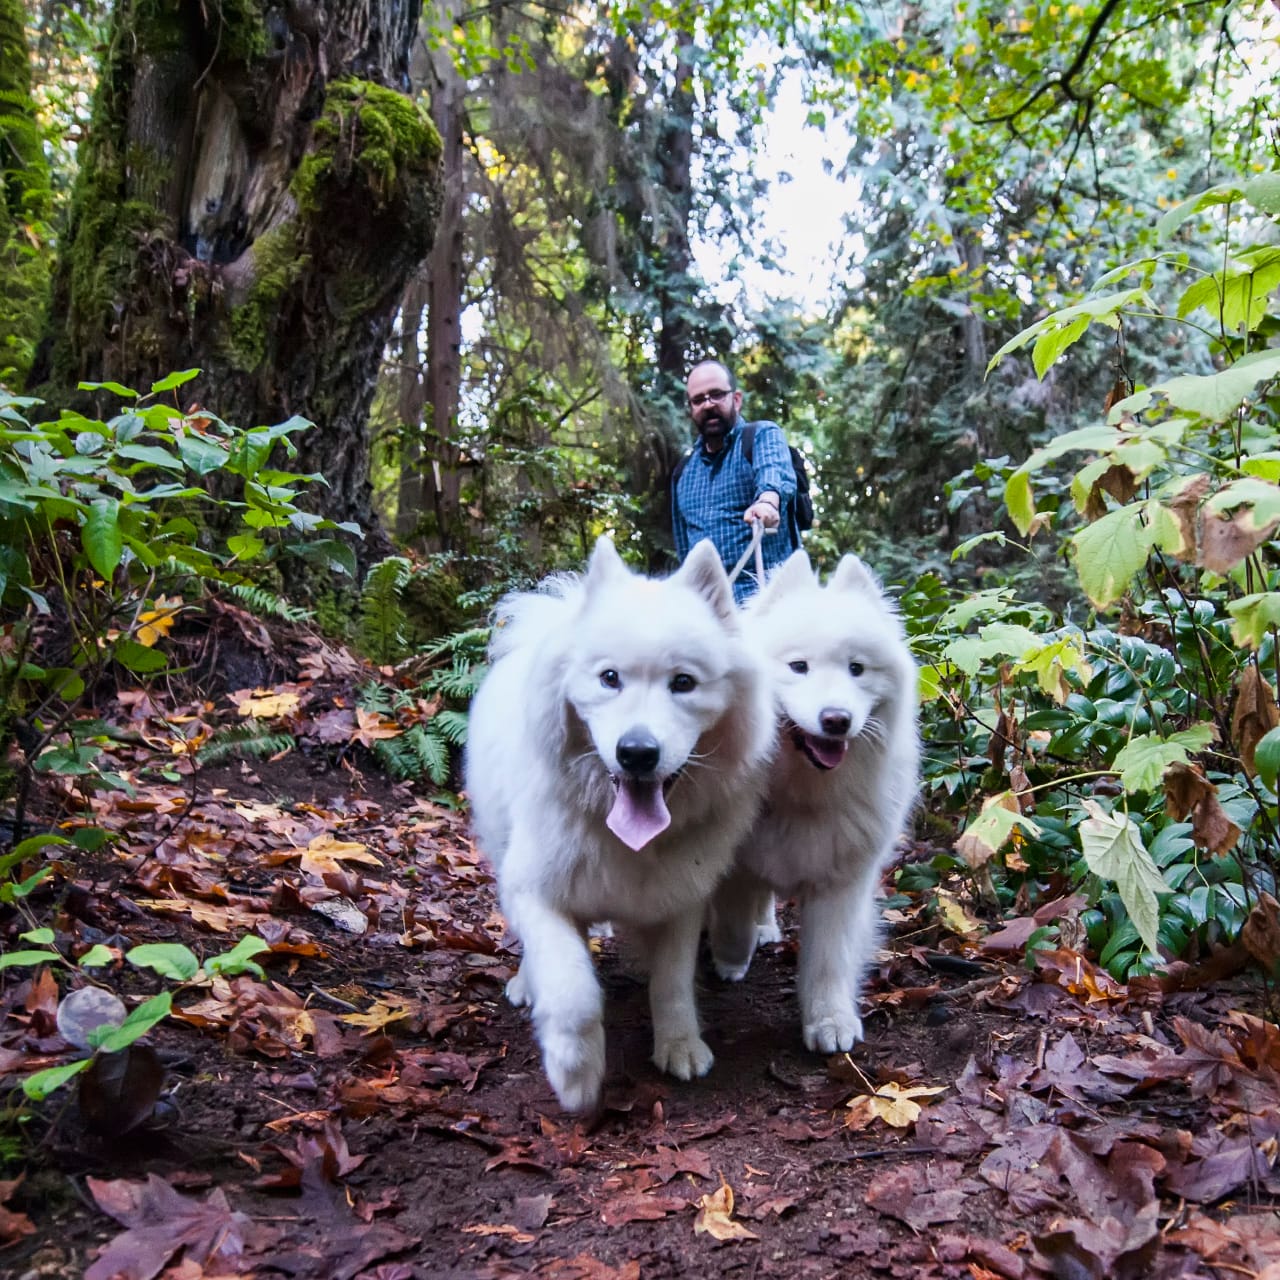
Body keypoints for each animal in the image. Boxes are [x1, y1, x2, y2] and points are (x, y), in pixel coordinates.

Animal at [465, 536, 774, 1112]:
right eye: (609, 679)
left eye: (683, 683)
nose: (636, 753)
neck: (629, 843)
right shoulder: (537, 894)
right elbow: (573, 991)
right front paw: (574, 1071)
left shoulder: (681, 899)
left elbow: (672, 983)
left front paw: (680, 1045)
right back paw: (525, 985)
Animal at [708, 550, 920, 1054]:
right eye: (798, 666)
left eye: (857, 669)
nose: (837, 719)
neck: (801, 795)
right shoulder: (735, 862)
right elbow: (732, 916)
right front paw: (729, 956)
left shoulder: (840, 882)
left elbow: (829, 960)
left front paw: (829, 1021)